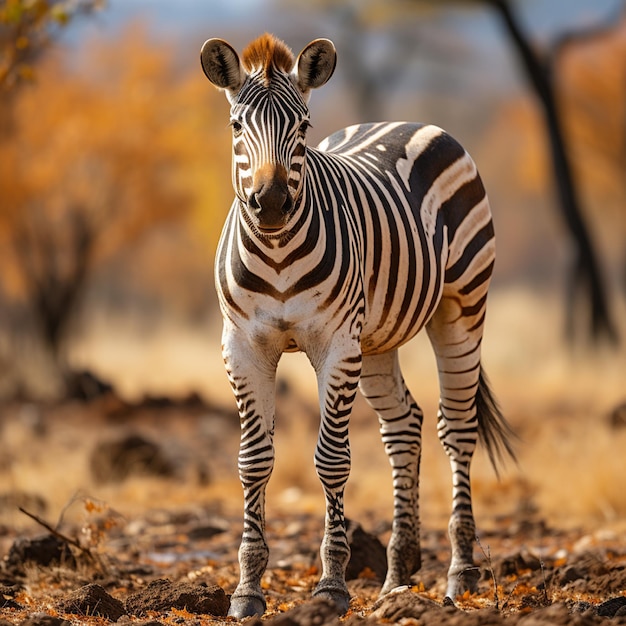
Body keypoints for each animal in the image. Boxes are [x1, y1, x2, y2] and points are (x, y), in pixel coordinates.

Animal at [201, 33, 516, 616]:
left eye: (302, 127)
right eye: (235, 125)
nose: (271, 203)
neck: (276, 252)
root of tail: (401, 121)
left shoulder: (334, 344)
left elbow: (331, 461)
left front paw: (331, 586)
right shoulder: (243, 345)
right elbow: (253, 461)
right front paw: (247, 590)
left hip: (461, 305)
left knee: (456, 428)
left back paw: (460, 573)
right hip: (375, 339)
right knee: (405, 423)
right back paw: (398, 573)